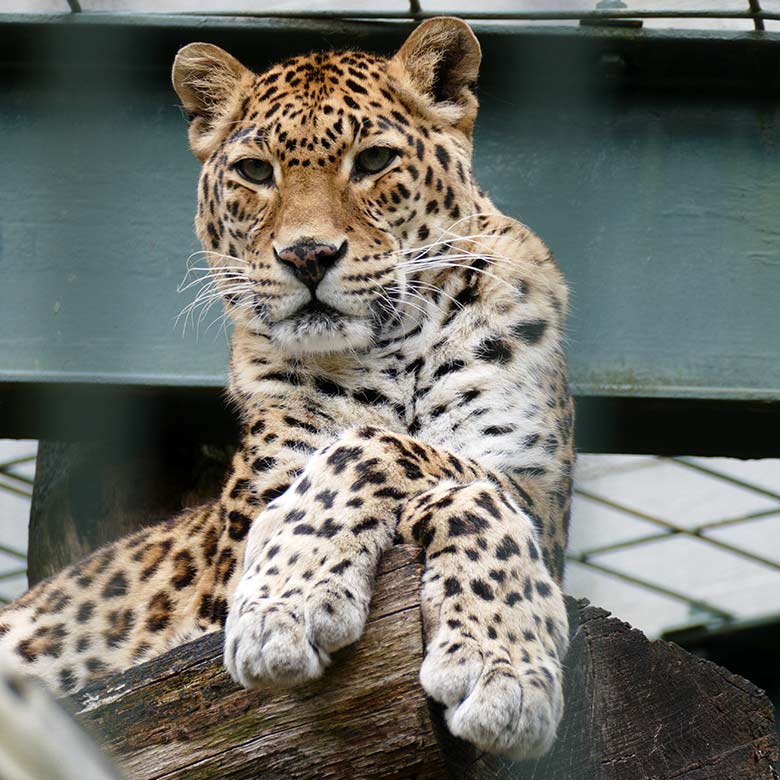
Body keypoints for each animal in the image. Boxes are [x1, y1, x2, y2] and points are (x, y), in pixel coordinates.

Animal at [0, 18, 572, 760]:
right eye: (254, 171)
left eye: (373, 161)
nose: (307, 255)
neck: (393, 356)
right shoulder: (222, 572)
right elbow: (368, 455)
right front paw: (284, 607)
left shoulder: (540, 495)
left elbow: (425, 465)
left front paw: (505, 672)